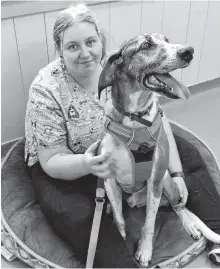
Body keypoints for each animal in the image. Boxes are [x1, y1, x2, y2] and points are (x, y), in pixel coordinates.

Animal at [97, 33, 220, 266]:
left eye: (167, 40)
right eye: (146, 45)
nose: (188, 51)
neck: (136, 118)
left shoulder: (155, 181)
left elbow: (149, 224)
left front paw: (144, 251)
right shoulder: (109, 181)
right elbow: (120, 219)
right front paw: (122, 238)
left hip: (166, 182)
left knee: (178, 206)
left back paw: (190, 224)